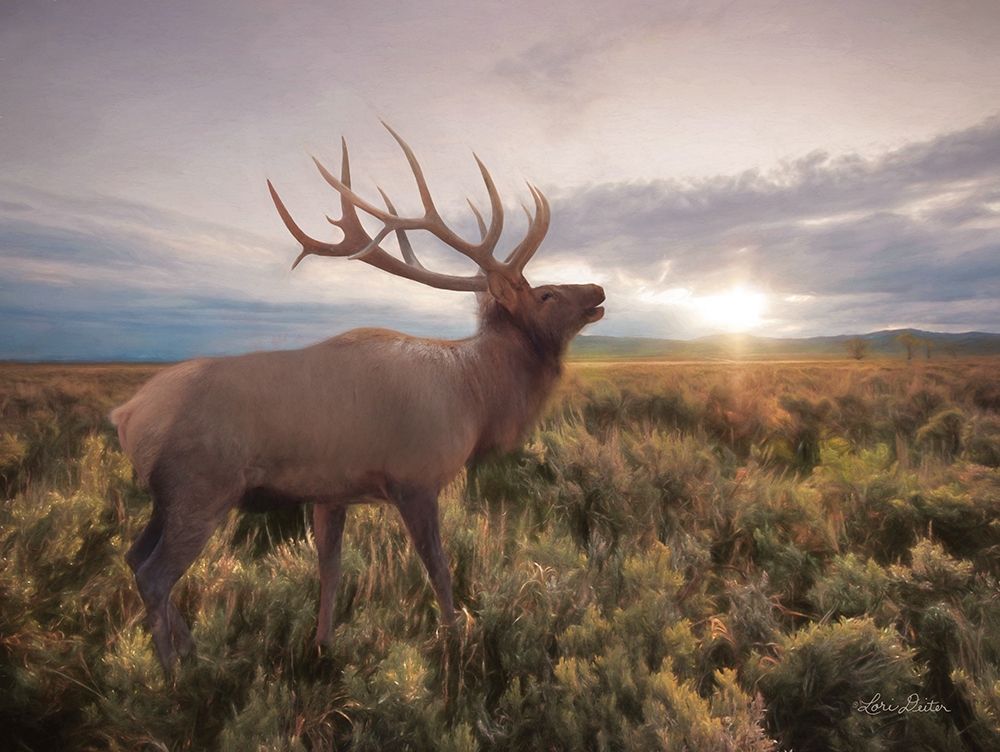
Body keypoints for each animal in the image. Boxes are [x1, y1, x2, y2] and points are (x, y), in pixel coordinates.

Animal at [110, 123, 605, 673]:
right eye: (545, 295)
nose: (598, 290)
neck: (475, 396)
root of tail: (126, 415)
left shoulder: (332, 492)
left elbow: (330, 568)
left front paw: (323, 645)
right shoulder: (414, 479)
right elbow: (438, 567)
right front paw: (456, 639)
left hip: (166, 496)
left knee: (133, 556)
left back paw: (194, 652)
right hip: (200, 487)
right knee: (154, 574)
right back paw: (175, 676)